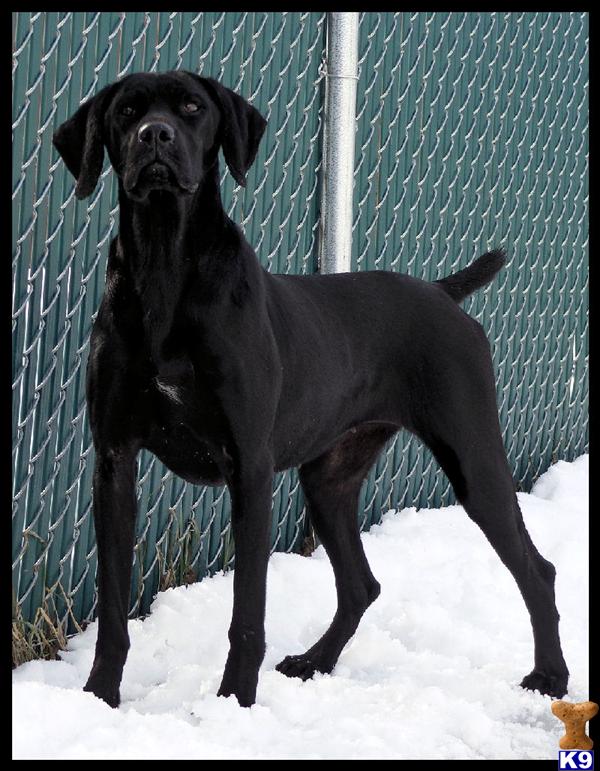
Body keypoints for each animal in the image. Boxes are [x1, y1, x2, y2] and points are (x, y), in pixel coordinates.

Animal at [52, 74, 568, 712]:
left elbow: (248, 612)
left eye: (192, 107)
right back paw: (315, 662)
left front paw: (233, 704)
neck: (165, 267)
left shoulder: (249, 468)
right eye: (126, 111)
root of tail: (443, 294)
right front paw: (98, 696)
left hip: (475, 460)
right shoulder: (114, 462)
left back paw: (549, 677)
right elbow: (113, 606)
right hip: (329, 480)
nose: (155, 136)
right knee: (361, 585)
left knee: (536, 570)